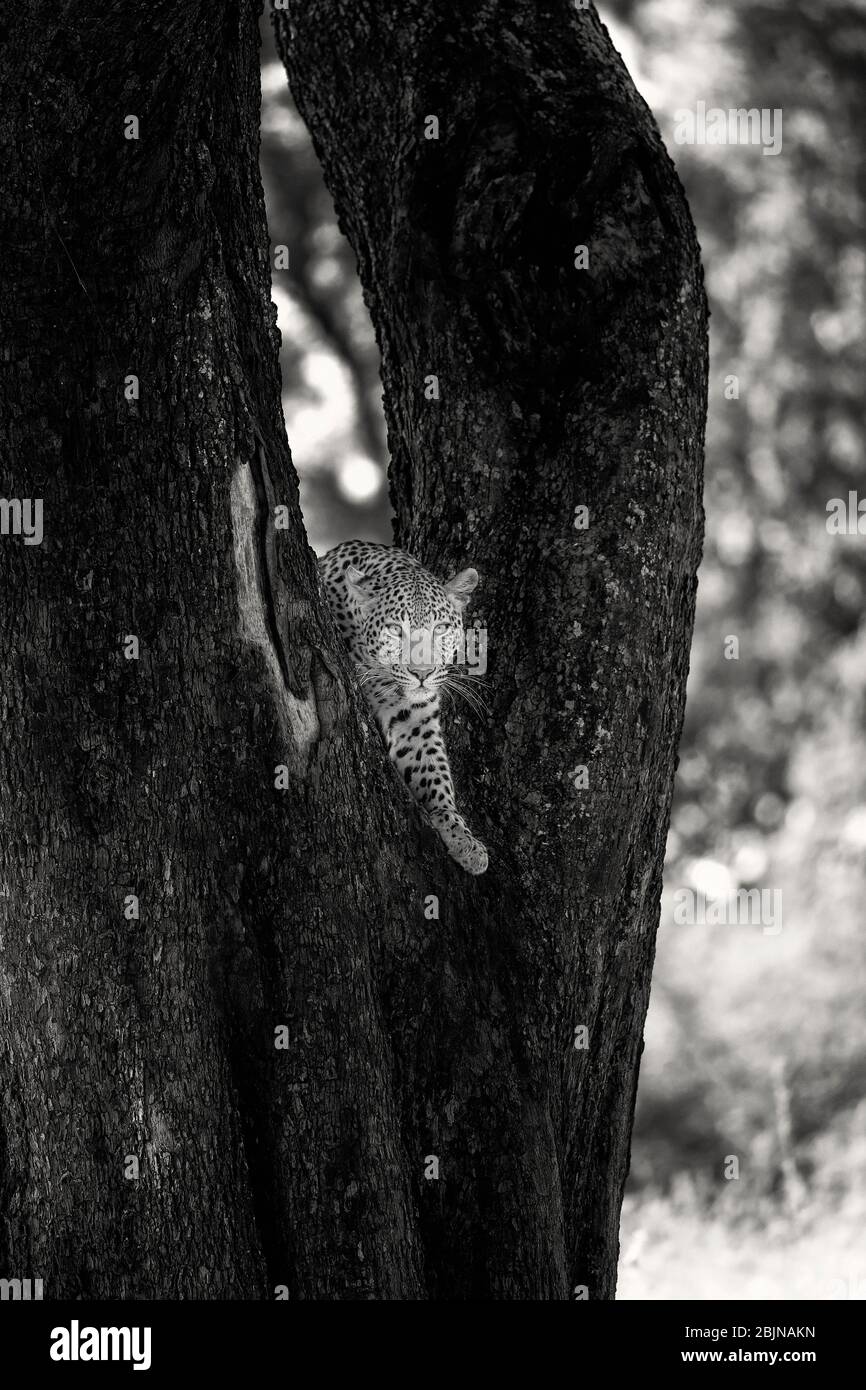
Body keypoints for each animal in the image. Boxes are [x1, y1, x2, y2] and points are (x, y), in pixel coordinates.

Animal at [319, 540, 488, 875]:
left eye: (441, 628)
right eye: (396, 630)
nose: (422, 673)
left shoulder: (415, 721)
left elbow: (436, 774)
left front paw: (461, 836)